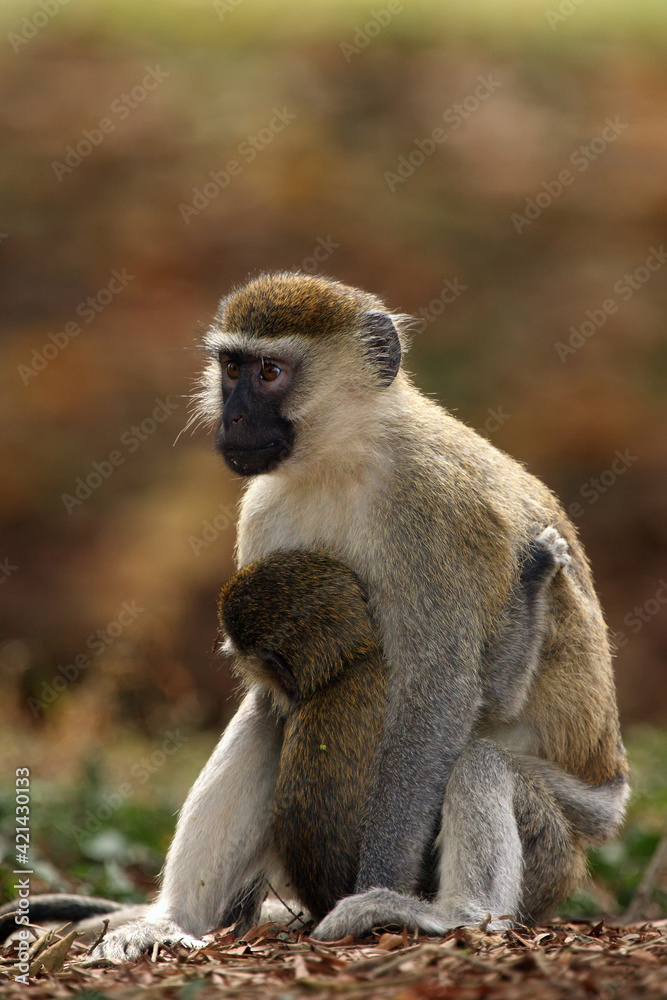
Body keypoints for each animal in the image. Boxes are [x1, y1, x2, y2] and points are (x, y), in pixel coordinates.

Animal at [26, 274, 628, 960]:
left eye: (269, 372)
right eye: (231, 368)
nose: (233, 416)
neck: (349, 456)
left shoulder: (439, 515)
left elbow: (442, 696)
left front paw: (375, 884)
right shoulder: (264, 512)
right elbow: (277, 694)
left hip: (565, 836)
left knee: (480, 760)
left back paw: (454, 915)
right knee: (267, 715)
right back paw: (173, 921)